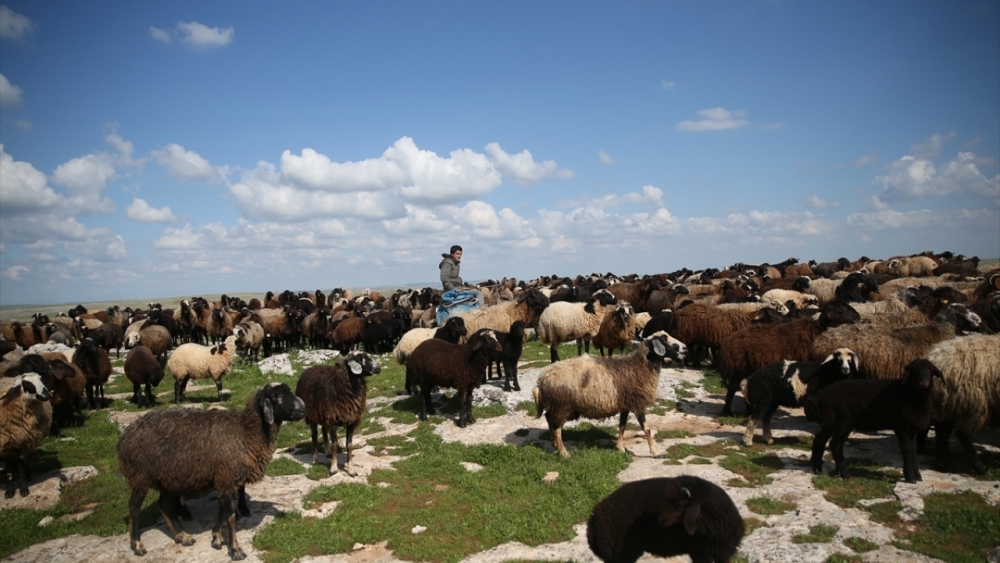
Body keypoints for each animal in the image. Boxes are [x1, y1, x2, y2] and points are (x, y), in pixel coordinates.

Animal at [532, 330, 688, 458]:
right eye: (664, 339)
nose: (685, 348)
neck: (639, 366)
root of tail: (541, 380)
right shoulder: (637, 404)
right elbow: (647, 429)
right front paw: (655, 452)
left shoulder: (626, 405)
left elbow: (622, 426)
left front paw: (620, 447)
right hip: (562, 406)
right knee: (556, 427)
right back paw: (563, 452)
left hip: (557, 406)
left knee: (549, 418)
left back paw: (554, 445)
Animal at [800, 360, 940, 482]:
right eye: (913, 371)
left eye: (930, 371)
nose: (923, 382)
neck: (908, 393)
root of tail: (821, 396)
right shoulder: (902, 426)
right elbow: (907, 449)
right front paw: (910, 477)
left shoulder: (911, 428)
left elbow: (913, 449)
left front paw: (917, 475)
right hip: (844, 422)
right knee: (835, 444)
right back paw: (845, 474)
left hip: (832, 422)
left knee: (820, 439)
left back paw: (818, 469)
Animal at [920, 334, 1000, 476]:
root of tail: (935, 358)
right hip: (971, 403)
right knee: (963, 436)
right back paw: (981, 469)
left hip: (949, 403)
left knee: (943, 433)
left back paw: (944, 465)